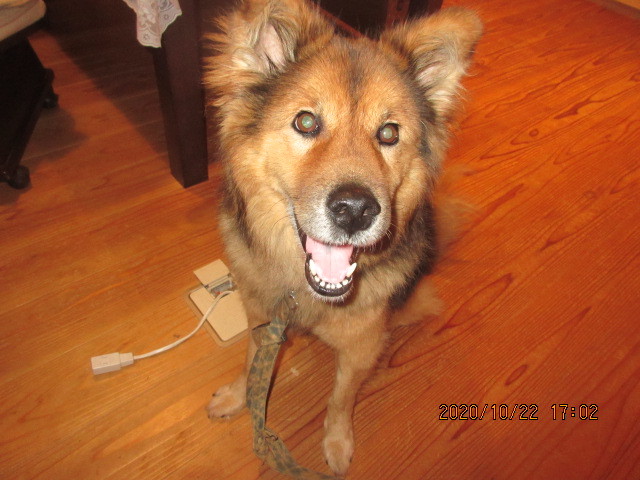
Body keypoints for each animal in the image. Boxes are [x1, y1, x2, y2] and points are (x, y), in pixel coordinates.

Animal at [204, 0, 482, 475]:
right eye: (306, 122)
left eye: (389, 133)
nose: (355, 210)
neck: (304, 295)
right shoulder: (262, 318)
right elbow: (251, 362)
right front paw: (238, 396)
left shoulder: (360, 347)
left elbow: (340, 400)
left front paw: (337, 444)